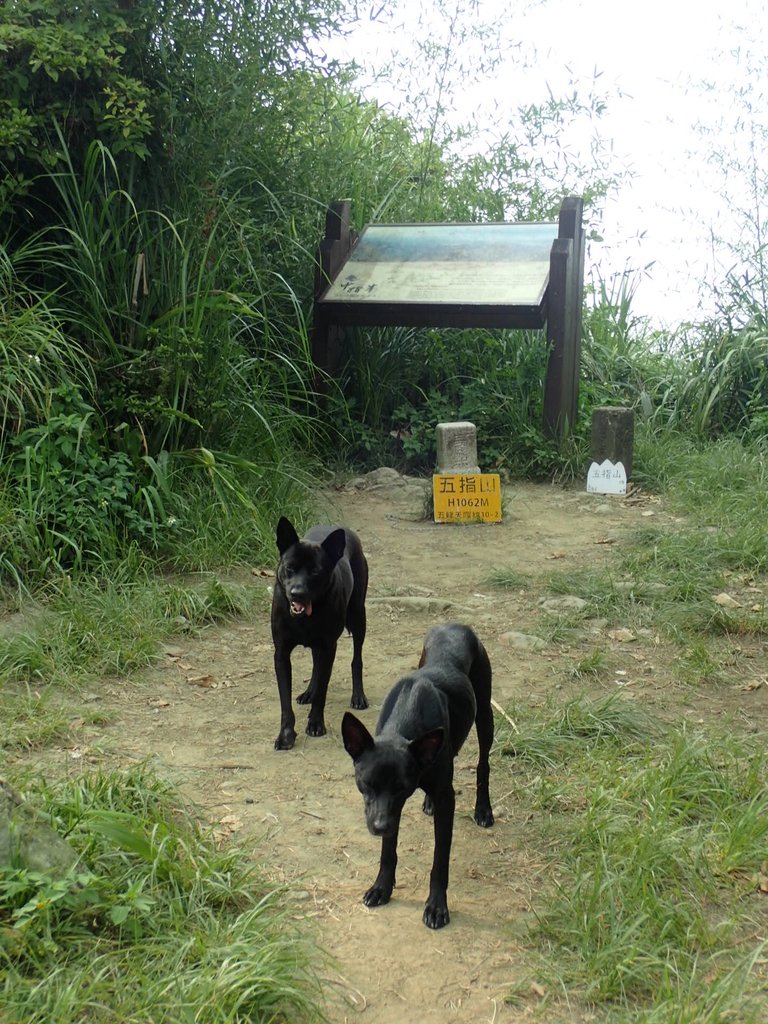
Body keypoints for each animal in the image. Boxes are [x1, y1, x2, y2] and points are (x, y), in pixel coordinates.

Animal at [272, 520, 368, 753]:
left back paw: (358, 696)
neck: (305, 617)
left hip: (358, 616)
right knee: (316, 664)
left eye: (315, 571)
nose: (297, 593)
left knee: (356, 659)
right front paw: (285, 735)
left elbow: (323, 693)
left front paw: (316, 724)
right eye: (290, 567)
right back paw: (309, 692)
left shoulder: (328, 647)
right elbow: (285, 701)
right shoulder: (281, 654)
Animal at [342, 622, 493, 929]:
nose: (379, 826)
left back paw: (483, 809)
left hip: (485, 714)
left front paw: (436, 907)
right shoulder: (390, 811)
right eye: (366, 784)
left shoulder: (444, 800)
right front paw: (381, 888)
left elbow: (440, 860)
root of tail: (457, 625)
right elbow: (388, 851)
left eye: (402, 788)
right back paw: (428, 802)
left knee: (483, 763)